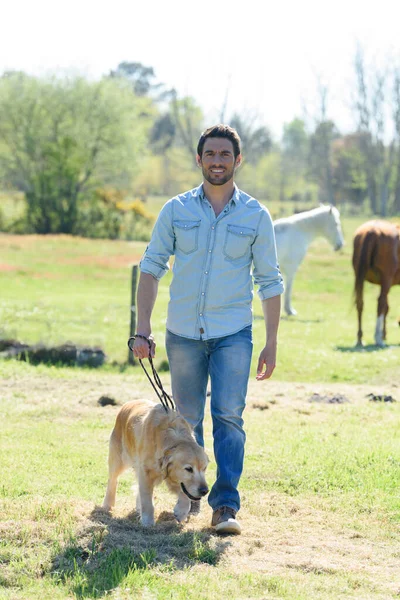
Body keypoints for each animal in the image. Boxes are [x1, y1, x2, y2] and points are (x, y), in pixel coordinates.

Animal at [103, 400, 209, 528]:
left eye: (204, 468)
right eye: (188, 469)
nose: (205, 491)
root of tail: (128, 403)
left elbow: (185, 493)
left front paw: (181, 512)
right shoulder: (146, 472)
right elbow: (147, 500)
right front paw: (148, 522)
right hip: (119, 459)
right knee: (112, 480)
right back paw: (108, 505)